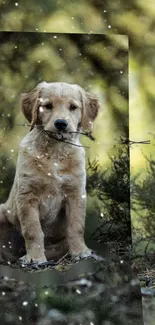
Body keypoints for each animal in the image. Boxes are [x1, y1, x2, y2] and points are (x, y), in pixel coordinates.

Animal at [0, 81, 99, 264]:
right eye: (47, 106)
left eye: (73, 107)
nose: (61, 123)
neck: (55, 152)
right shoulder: (27, 195)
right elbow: (33, 230)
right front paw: (35, 258)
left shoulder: (76, 193)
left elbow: (76, 226)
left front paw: (81, 252)